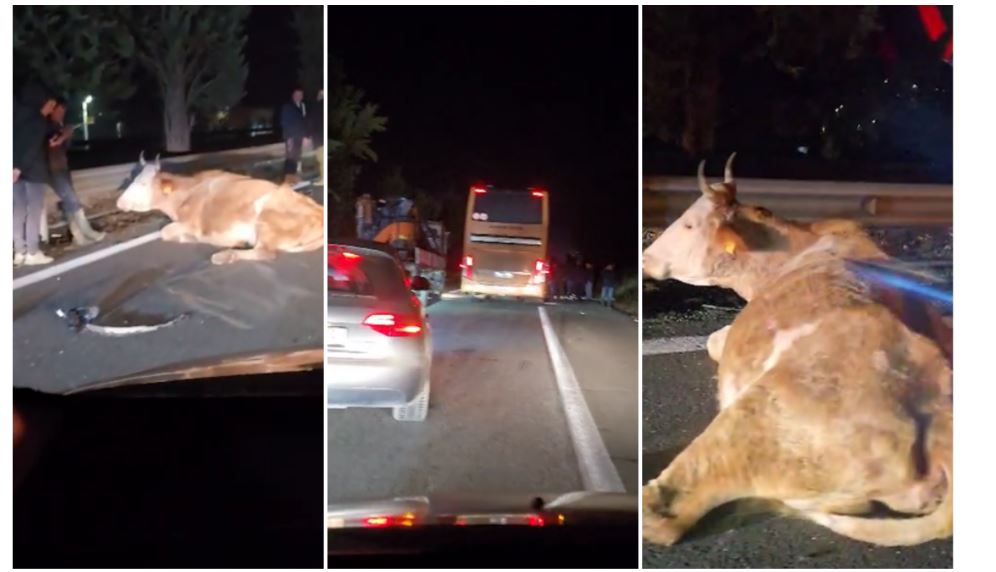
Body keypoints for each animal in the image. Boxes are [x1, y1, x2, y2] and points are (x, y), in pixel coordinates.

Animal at [117, 154, 322, 266]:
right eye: (132, 180)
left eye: (143, 184)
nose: (119, 203)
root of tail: (319, 213)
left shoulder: (191, 224)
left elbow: (165, 231)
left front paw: (189, 238)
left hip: (266, 216)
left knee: (265, 253)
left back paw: (225, 255)